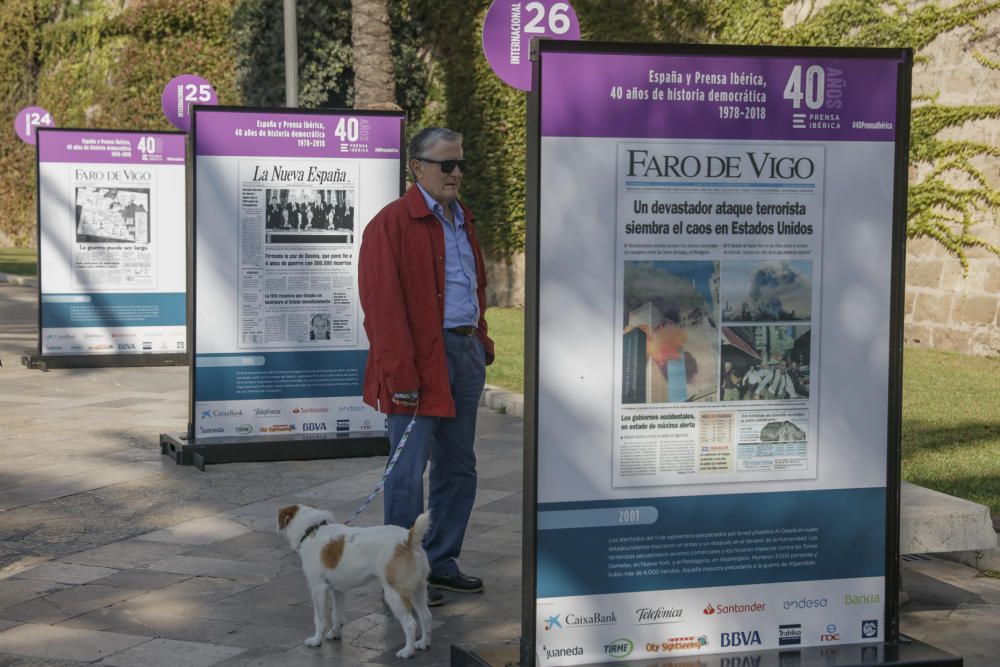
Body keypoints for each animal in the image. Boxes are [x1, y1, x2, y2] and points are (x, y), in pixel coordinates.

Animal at [276, 506, 432, 656]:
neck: (311, 529)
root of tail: (408, 540)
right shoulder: (338, 590)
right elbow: (336, 615)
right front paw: (335, 634)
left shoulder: (318, 589)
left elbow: (319, 619)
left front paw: (316, 640)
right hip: (418, 590)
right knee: (425, 616)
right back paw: (423, 643)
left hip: (395, 594)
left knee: (410, 624)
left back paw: (407, 652)